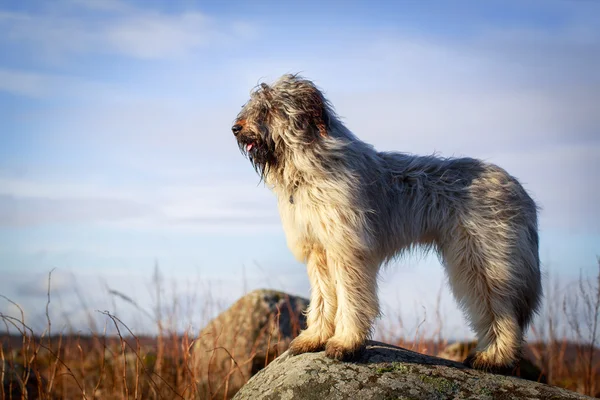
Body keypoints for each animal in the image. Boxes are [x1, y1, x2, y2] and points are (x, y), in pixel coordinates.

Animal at [231, 72, 544, 372]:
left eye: (269, 108)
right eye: (252, 105)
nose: (235, 127)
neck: (310, 167)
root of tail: (520, 190)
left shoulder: (347, 249)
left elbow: (350, 297)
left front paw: (345, 343)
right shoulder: (318, 250)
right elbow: (323, 297)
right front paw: (315, 337)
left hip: (483, 260)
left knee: (501, 312)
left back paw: (495, 358)